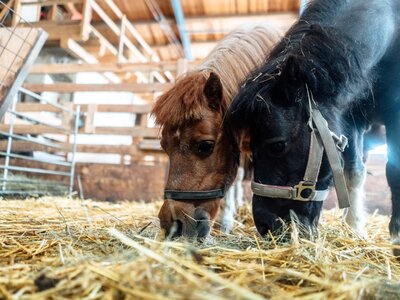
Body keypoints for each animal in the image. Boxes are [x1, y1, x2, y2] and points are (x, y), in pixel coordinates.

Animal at [227, 0, 398, 253]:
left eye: (277, 146)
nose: (265, 225)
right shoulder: (350, 120)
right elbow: (353, 172)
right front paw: (354, 227)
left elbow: (393, 172)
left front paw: (394, 235)